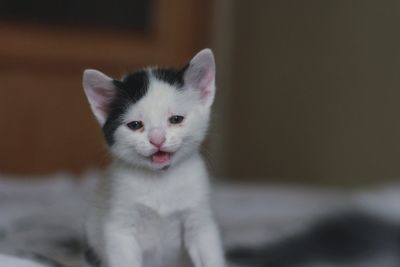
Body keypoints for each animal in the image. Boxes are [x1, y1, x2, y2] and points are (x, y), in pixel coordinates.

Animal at [81, 48, 225, 267]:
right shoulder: (119, 228)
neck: (160, 180)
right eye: (135, 125)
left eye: (176, 119)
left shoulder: (200, 220)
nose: (157, 139)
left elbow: (209, 253)